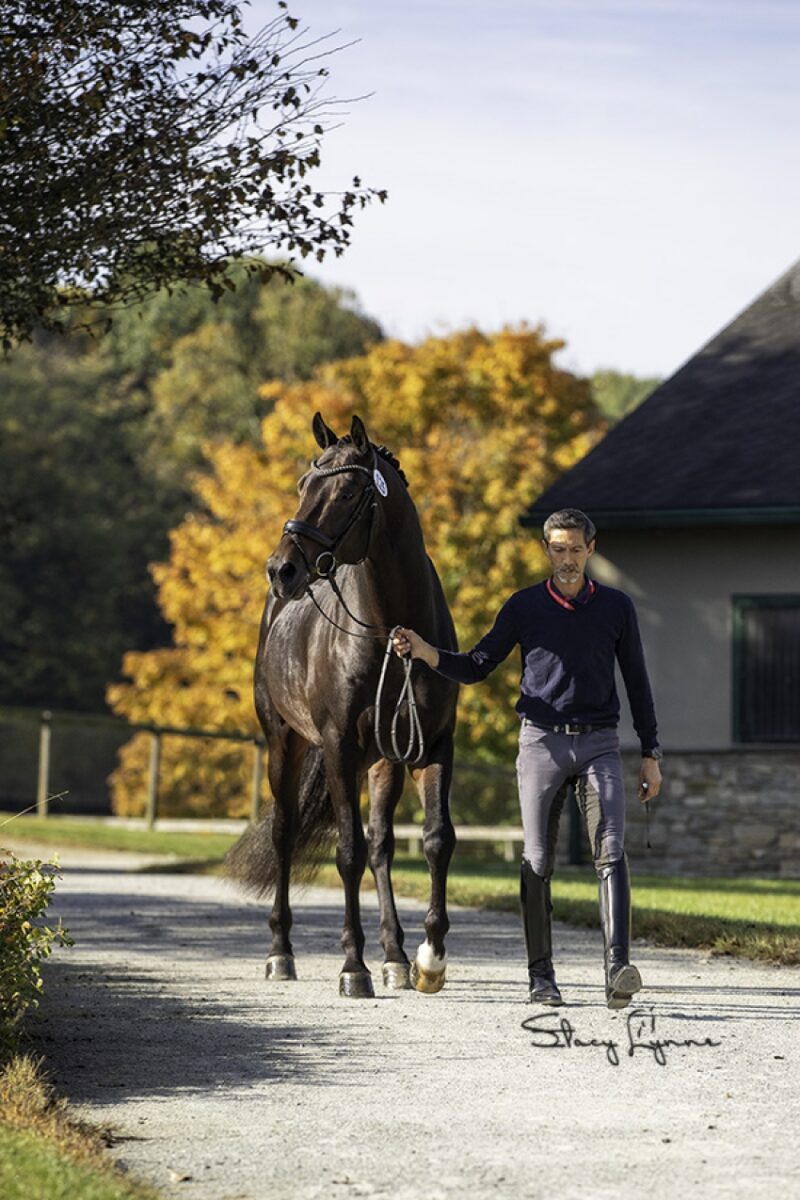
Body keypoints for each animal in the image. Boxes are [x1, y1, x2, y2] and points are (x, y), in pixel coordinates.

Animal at [227, 412, 459, 998]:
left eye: (349, 491)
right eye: (302, 485)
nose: (281, 569)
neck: (394, 631)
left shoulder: (434, 744)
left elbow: (435, 841)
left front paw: (429, 959)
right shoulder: (336, 746)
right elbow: (347, 851)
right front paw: (353, 967)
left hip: (383, 761)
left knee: (382, 846)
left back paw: (395, 957)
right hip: (283, 743)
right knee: (286, 834)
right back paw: (281, 953)